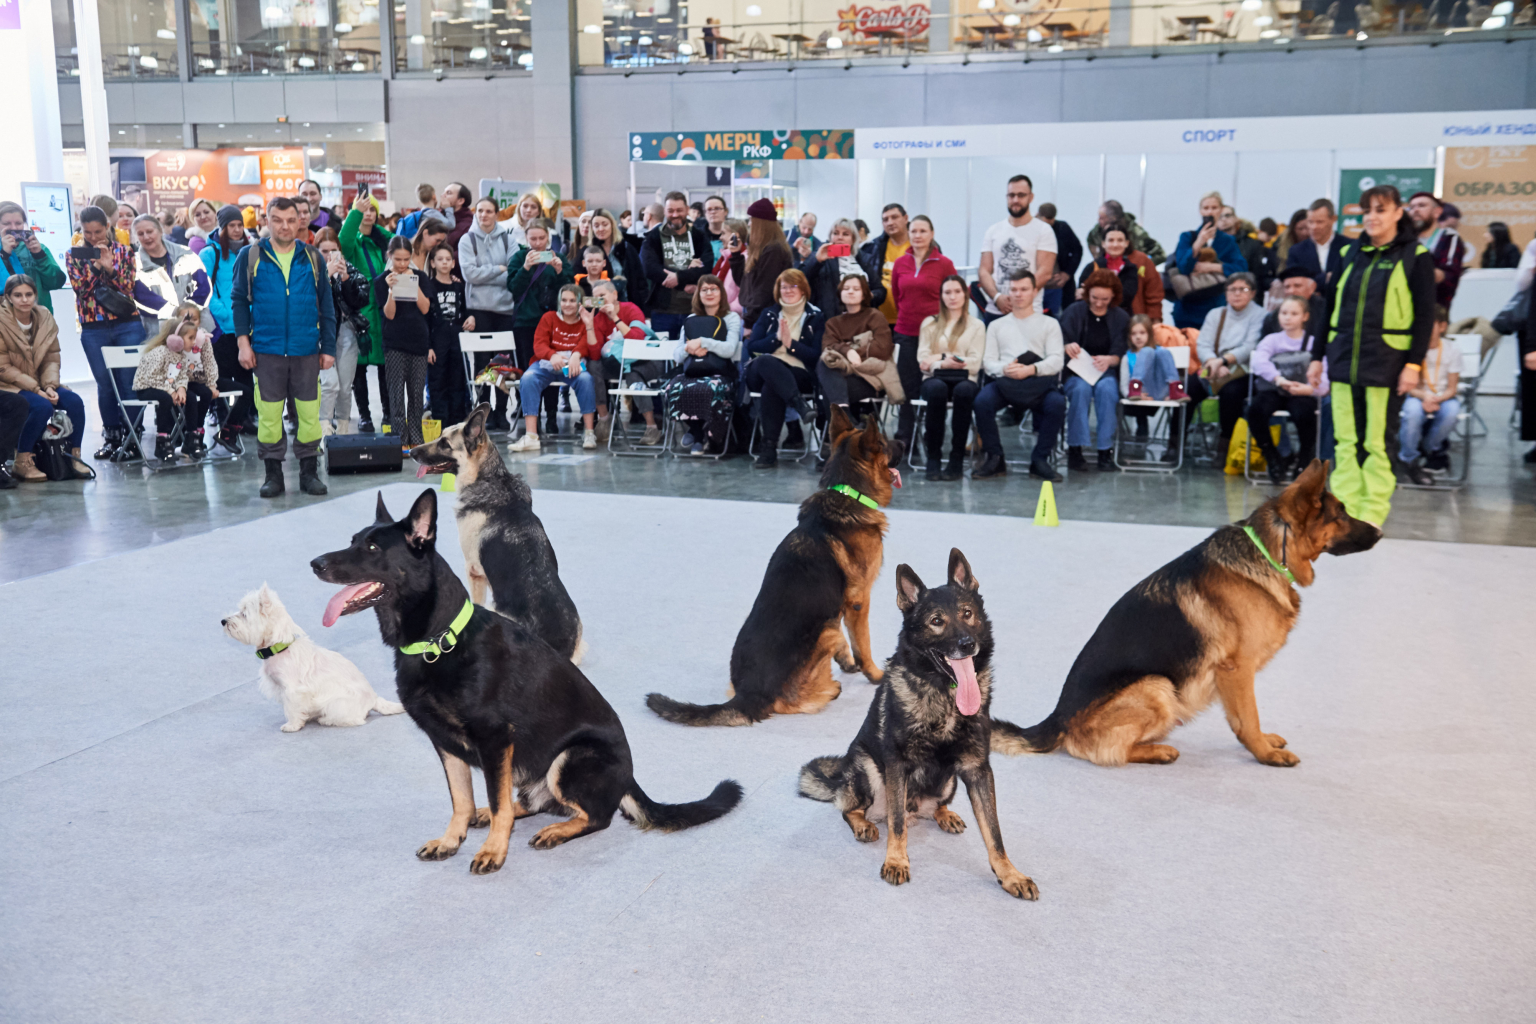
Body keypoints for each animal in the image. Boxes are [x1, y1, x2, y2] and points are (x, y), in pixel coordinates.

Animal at [222, 580, 405, 733]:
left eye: (244, 614)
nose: (223, 621)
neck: (280, 647)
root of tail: (374, 699)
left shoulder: (292, 689)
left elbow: (291, 708)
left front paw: (292, 726)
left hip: (337, 704)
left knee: (356, 719)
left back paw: (326, 720)